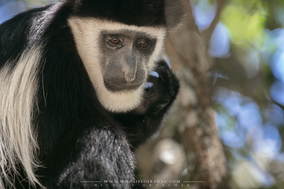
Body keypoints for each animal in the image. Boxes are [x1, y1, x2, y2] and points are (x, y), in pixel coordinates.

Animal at [0, 0, 184, 188]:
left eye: (144, 44)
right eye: (115, 40)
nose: (130, 73)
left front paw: (157, 95)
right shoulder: (54, 67)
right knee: (100, 137)